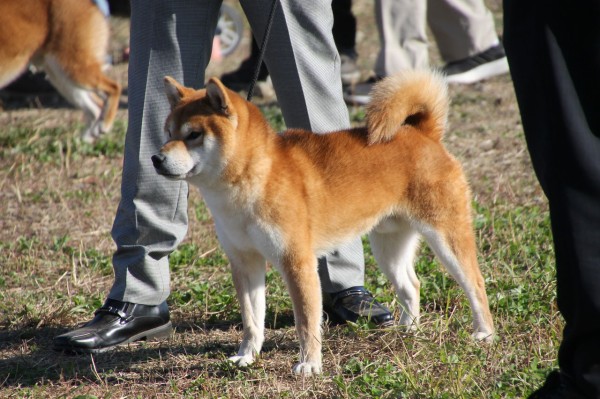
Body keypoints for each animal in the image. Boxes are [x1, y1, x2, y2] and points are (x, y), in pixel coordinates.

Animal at [0, 0, 120, 143]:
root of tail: (89, 3)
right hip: (62, 79)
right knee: (96, 108)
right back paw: (84, 140)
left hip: (73, 69)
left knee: (114, 87)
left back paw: (103, 125)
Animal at [152, 69, 494, 376]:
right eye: (168, 133)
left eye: (193, 134)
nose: (156, 158)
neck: (253, 178)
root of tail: (423, 133)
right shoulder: (245, 262)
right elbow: (251, 321)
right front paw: (247, 356)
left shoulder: (297, 262)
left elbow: (306, 322)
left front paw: (310, 364)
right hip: (388, 246)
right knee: (411, 285)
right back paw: (407, 330)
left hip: (446, 238)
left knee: (475, 283)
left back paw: (484, 333)